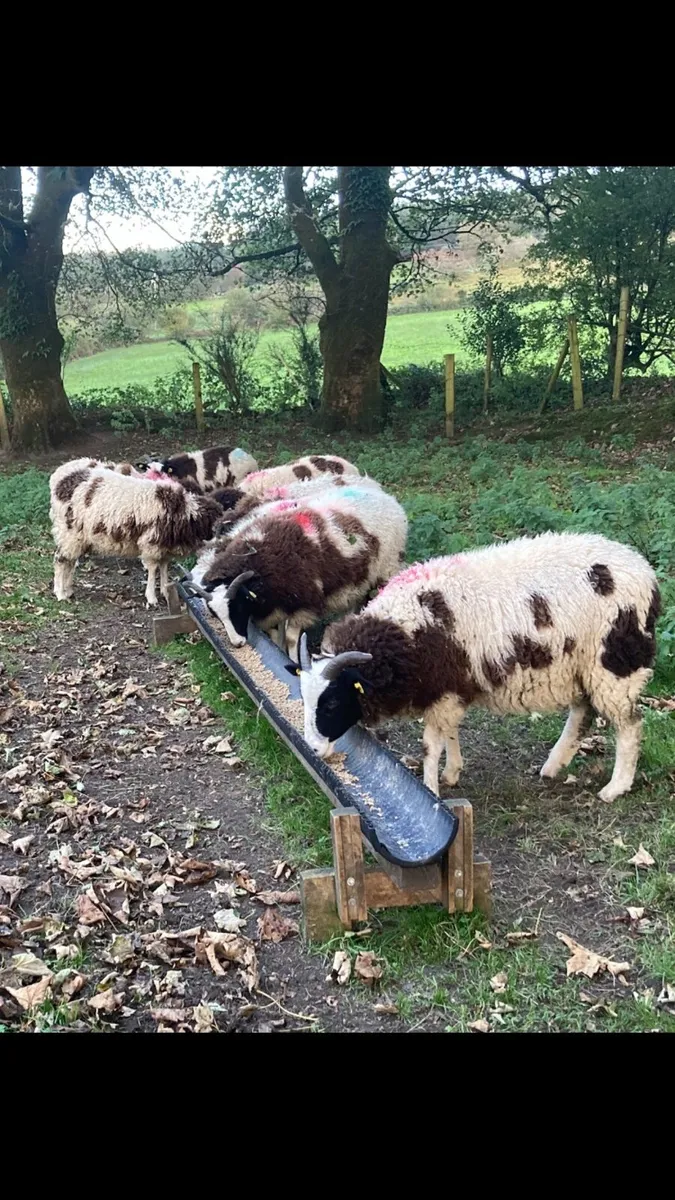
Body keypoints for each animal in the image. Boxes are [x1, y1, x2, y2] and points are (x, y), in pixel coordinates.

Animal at [49, 458, 223, 608]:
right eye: (213, 526)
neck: (184, 511)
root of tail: (60, 478)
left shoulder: (165, 544)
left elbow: (164, 567)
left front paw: (166, 591)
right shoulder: (151, 543)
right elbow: (153, 569)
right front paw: (151, 597)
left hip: (79, 537)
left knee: (70, 562)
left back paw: (68, 590)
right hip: (69, 532)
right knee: (60, 560)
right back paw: (60, 593)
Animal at [189, 483, 408, 662]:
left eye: (238, 606)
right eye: (215, 615)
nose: (238, 644)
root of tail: (386, 497)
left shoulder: (304, 604)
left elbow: (292, 639)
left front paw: (294, 662)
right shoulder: (274, 607)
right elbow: (276, 636)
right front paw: (279, 653)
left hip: (387, 566)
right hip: (361, 575)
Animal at [289, 531, 661, 805]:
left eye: (332, 703)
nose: (314, 749)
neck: (404, 632)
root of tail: (644, 571)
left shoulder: (444, 691)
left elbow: (430, 745)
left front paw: (431, 791)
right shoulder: (452, 689)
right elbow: (450, 733)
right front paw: (451, 772)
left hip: (614, 665)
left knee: (630, 726)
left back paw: (615, 788)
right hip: (582, 667)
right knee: (582, 714)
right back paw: (553, 766)